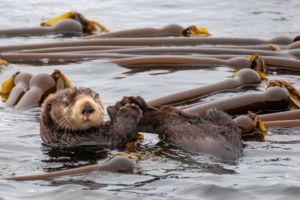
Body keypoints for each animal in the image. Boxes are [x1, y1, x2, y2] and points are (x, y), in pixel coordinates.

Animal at [39, 87, 243, 161]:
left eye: (94, 98)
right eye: (67, 103)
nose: (88, 107)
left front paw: (127, 105)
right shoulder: (85, 140)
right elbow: (117, 135)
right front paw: (127, 111)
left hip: (217, 117)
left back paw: (134, 103)